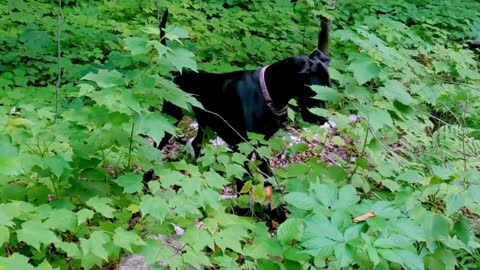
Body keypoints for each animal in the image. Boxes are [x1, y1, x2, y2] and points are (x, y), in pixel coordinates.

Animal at [158, 11, 330, 169]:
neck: (268, 95)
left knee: (196, 144)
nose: (323, 120)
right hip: (170, 118)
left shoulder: (262, 144)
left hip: (204, 124)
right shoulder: (244, 147)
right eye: (315, 90)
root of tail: (181, 72)